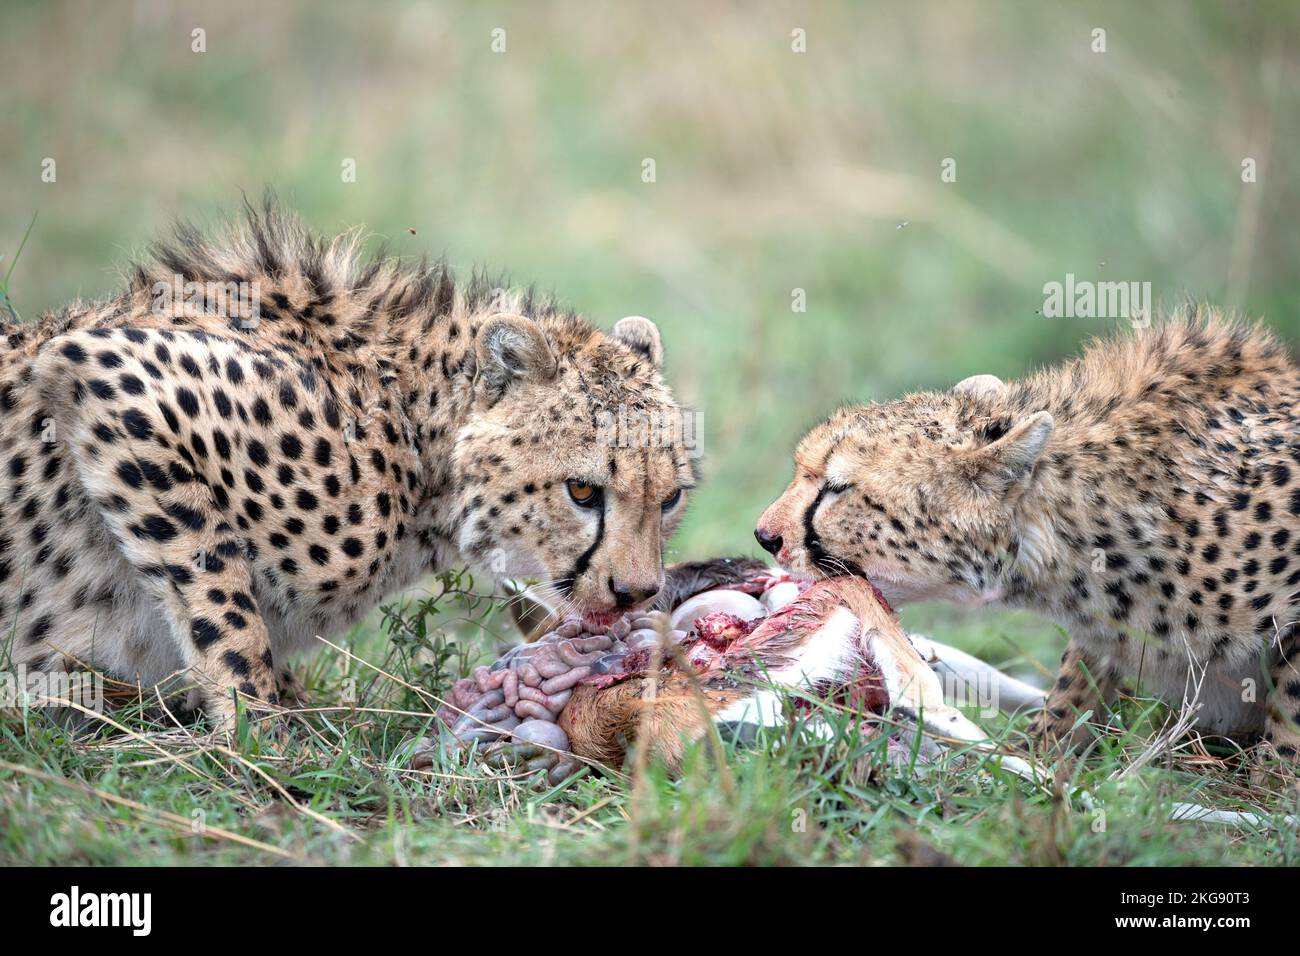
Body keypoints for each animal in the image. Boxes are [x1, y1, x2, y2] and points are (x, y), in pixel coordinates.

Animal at [2, 201, 702, 733]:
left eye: (669, 499)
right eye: (582, 490)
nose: (636, 593)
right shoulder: (113, 376)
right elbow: (225, 611)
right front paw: (264, 741)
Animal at [754, 317, 1300, 764]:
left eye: (838, 488)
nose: (764, 536)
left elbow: (1289, 719)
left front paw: (1270, 787)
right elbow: (1077, 685)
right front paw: (1037, 755)